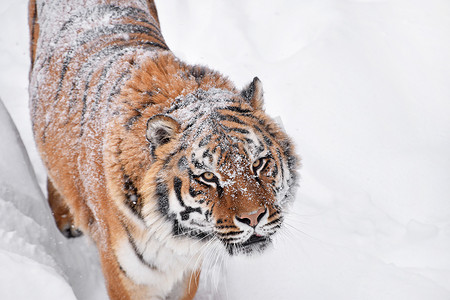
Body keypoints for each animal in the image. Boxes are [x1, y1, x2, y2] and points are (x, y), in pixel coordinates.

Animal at [27, 0, 296, 300]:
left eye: (258, 163)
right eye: (208, 177)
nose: (253, 218)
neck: (177, 238)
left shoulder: (188, 274)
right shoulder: (126, 279)